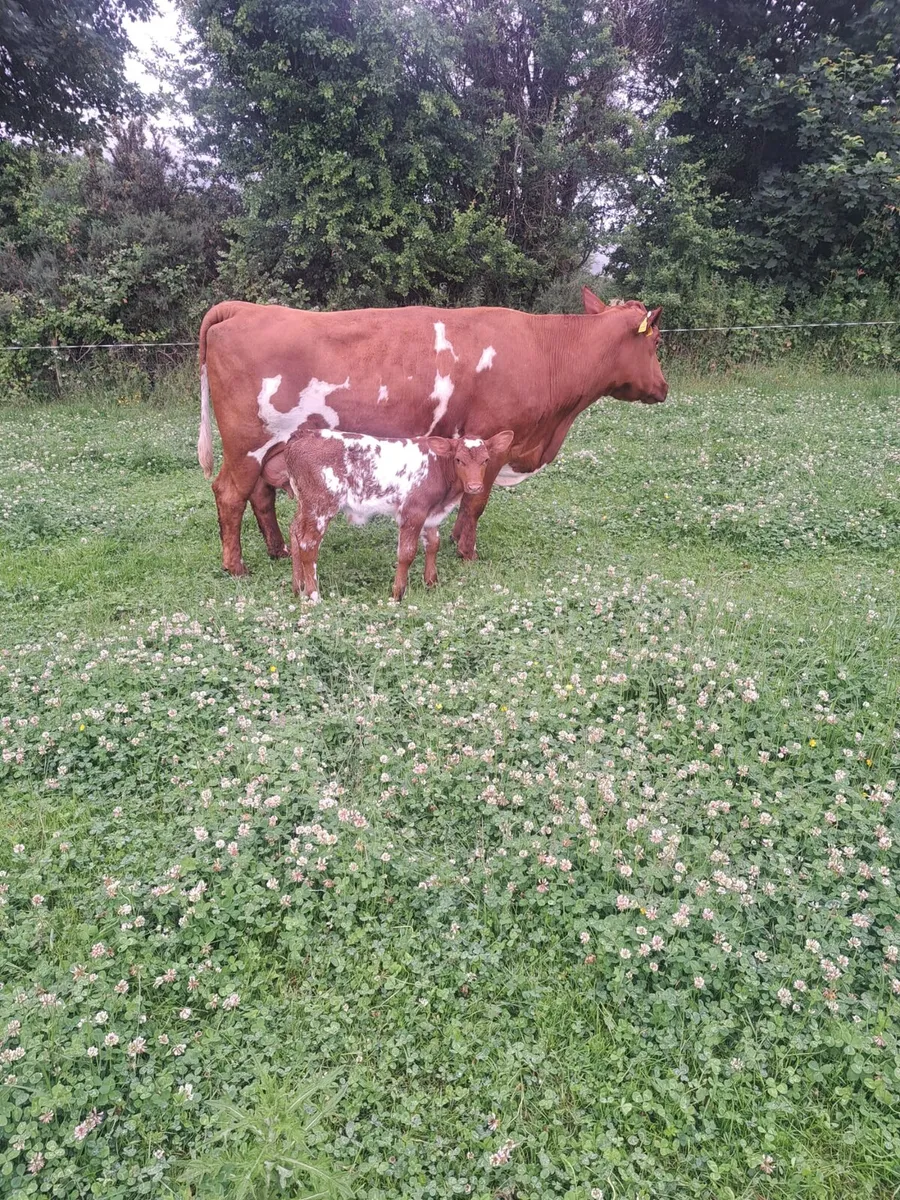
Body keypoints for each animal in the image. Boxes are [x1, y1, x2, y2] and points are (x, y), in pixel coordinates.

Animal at [197, 289, 666, 575]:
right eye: (656, 340)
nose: (664, 387)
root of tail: (245, 308)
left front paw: (455, 539)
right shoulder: (493, 438)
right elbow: (476, 503)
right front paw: (468, 552)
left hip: (271, 449)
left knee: (260, 496)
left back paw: (277, 550)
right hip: (246, 444)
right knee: (230, 494)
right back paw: (235, 566)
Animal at [284, 429, 515, 601]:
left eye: (486, 460)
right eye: (459, 460)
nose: (475, 487)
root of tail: (305, 434)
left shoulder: (431, 514)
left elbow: (433, 544)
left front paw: (431, 583)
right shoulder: (413, 512)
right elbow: (407, 553)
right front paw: (398, 593)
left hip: (305, 504)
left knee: (295, 532)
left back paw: (298, 588)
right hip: (321, 505)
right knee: (308, 545)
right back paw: (314, 595)